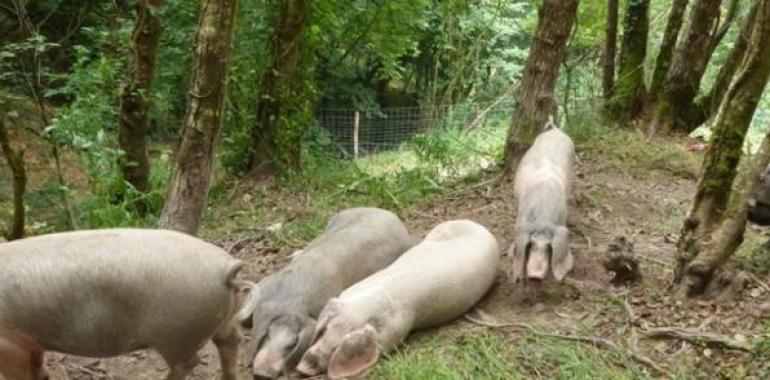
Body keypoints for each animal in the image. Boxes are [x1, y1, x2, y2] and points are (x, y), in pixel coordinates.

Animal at [0, 227, 252, 378]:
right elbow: (38, 370)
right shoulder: (32, 343)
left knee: (190, 362)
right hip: (222, 320)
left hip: (179, 334)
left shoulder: (10, 344)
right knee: (230, 342)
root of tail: (225, 266)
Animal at [236, 208, 412, 380]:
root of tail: (390, 215)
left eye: (292, 345)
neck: (290, 303)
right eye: (267, 335)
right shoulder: (264, 284)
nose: (263, 374)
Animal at [294, 218, 498, 378]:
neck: (369, 303)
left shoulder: (396, 330)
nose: (303, 367)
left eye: (338, 345)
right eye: (324, 331)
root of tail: (481, 227)